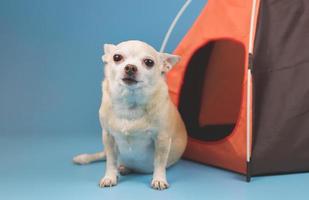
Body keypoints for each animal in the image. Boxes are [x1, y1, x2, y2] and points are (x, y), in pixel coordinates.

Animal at [73, 39, 186, 190]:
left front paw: (159, 179)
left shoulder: (162, 139)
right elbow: (110, 161)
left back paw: (124, 168)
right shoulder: (108, 137)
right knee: (105, 156)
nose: (130, 67)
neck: (130, 103)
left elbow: (159, 163)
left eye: (149, 62)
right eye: (117, 57)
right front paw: (109, 177)